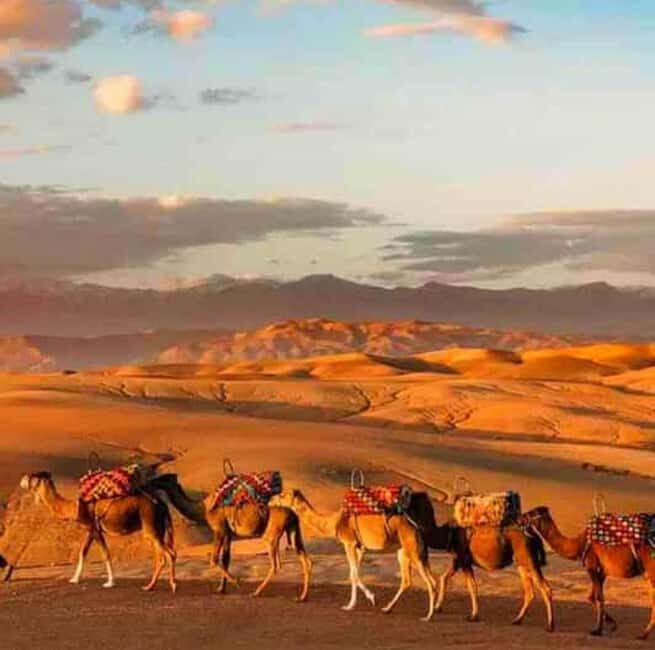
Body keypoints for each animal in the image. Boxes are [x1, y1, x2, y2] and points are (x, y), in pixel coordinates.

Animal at [19, 471, 176, 592]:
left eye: (33, 476)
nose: (22, 479)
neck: (75, 507)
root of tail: (162, 504)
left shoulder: (94, 529)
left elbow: (105, 554)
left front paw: (110, 582)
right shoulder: (91, 529)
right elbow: (83, 552)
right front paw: (74, 579)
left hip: (150, 525)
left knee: (168, 554)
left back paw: (170, 585)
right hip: (156, 529)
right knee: (162, 555)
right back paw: (150, 586)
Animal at [148, 474, 311, 601]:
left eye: (163, 478)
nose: (150, 482)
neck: (204, 509)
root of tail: (293, 514)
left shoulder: (219, 529)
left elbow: (214, 559)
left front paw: (236, 582)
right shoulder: (228, 533)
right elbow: (225, 559)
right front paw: (222, 588)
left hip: (271, 535)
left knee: (276, 565)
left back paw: (256, 592)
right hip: (293, 530)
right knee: (305, 560)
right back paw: (302, 596)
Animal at [278, 488, 436, 620]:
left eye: (283, 495)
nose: (274, 498)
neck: (335, 522)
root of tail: (416, 526)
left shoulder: (348, 542)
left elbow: (353, 575)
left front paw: (353, 604)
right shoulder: (360, 547)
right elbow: (353, 574)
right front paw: (365, 600)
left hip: (412, 549)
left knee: (429, 582)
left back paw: (428, 616)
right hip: (405, 551)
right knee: (411, 580)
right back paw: (388, 608)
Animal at [406, 492, 554, 630]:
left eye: (410, 499)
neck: (447, 532)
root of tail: (532, 533)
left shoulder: (464, 559)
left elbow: (471, 585)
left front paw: (473, 616)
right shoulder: (458, 559)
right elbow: (444, 578)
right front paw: (438, 607)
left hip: (529, 559)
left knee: (545, 588)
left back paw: (550, 625)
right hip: (521, 562)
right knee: (529, 592)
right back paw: (517, 620)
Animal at [522, 506, 655, 639]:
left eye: (532, 513)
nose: (521, 517)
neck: (579, 544)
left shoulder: (592, 566)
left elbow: (598, 598)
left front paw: (597, 630)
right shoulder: (602, 572)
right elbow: (592, 596)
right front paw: (612, 624)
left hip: (651, 568)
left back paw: (643, 634)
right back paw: (643, 634)